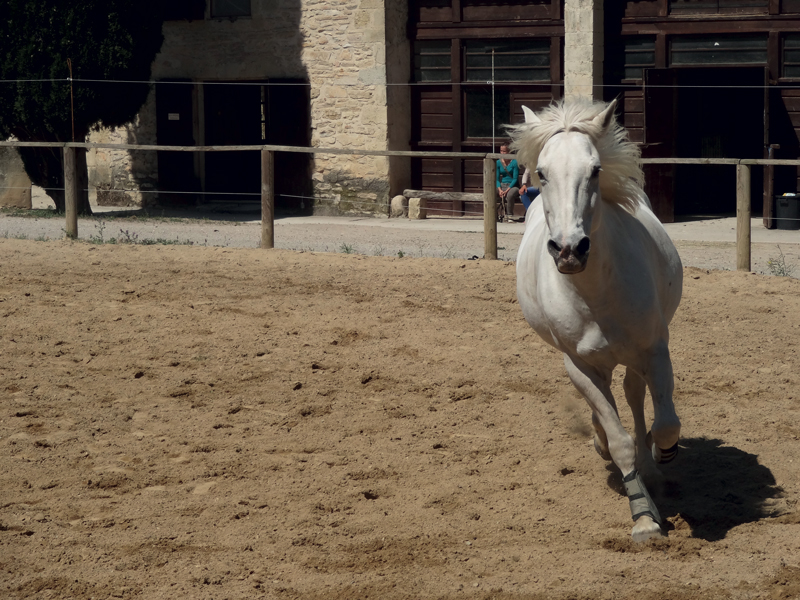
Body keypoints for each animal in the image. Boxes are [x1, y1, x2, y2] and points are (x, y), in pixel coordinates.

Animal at [510, 99, 684, 544]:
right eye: (542, 172)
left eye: (595, 170)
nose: (569, 249)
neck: (596, 292)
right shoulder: (580, 366)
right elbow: (619, 440)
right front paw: (643, 518)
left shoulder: (655, 350)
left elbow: (665, 424)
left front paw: (660, 455)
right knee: (611, 407)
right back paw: (602, 441)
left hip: (635, 358)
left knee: (634, 398)